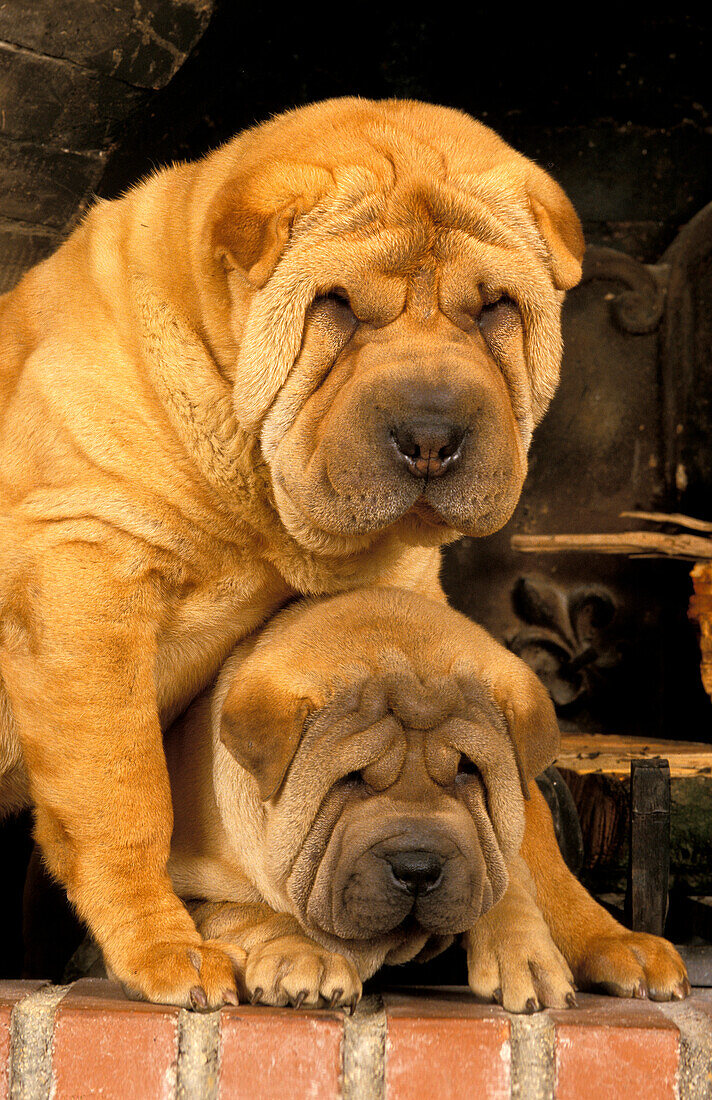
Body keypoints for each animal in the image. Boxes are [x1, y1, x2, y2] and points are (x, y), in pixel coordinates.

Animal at [0, 94, 603, 1007]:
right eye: (338, 306)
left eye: (495, 307)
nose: (432, 434)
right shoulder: (87, 572)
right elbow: (123, 795)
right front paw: (166, 948)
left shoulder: (411, 600)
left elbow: (524, 820)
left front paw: (595, 939)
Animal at [168, 589, 691, 1007]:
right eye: (350, 778)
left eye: (467, 771)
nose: (417, 868)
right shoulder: (188, 883)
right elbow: (251, 912)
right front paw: (306, 957)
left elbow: (506, 882)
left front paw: (524, 955)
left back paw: (626, 945)